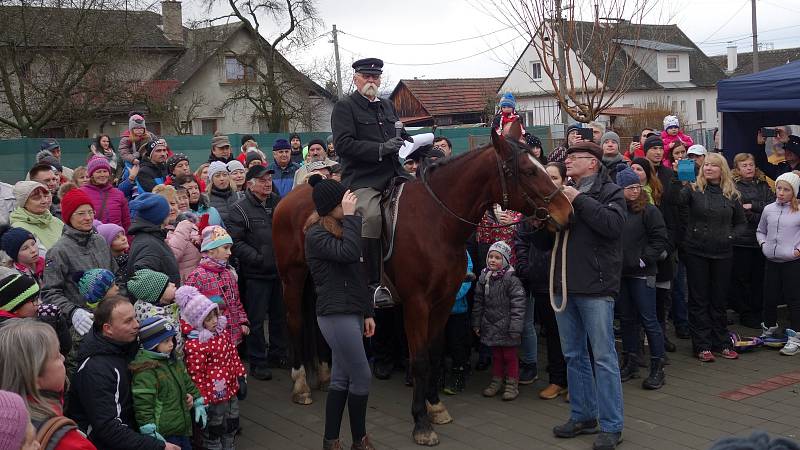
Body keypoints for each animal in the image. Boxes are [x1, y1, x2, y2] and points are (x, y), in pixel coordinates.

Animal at [272, 121, 572, 444]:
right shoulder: (416, 304)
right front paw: (421, 422)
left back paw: (325, 373)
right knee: (294, 321)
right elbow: (419, 360)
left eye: (541, 165)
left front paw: (435, 406)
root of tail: (292, 196)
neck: (436, 220)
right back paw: (301, 384)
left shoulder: (443, 301)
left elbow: (435, 353)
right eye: (528, 171)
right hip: (292, 277)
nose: (567, 212)